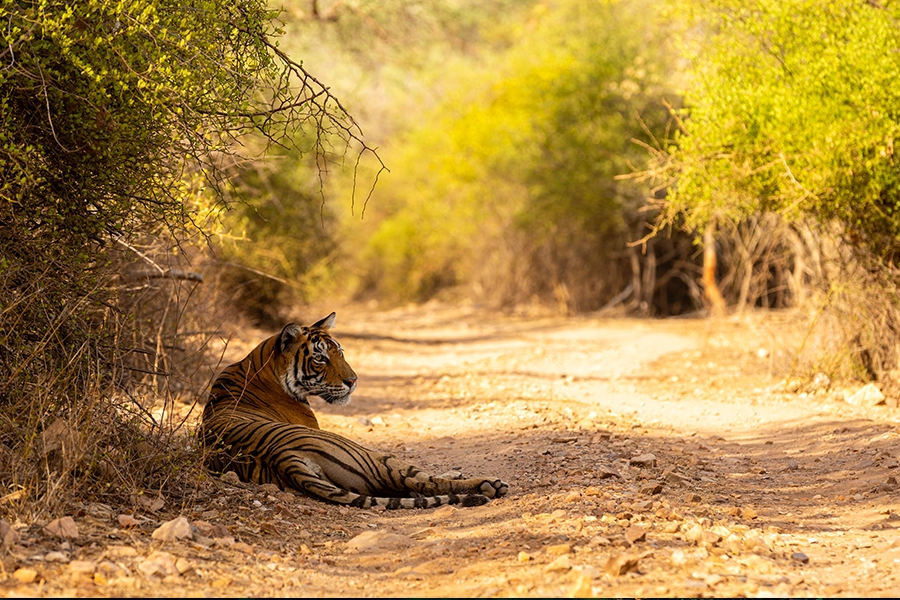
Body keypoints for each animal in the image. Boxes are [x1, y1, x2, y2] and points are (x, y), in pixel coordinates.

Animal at [200, 312, 509, 509]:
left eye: (340, 352)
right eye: (320, 358)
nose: (354, 380)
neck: (259, 366)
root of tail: (283, 458)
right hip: (375, 457)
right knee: (423, 481)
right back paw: (490, 484)